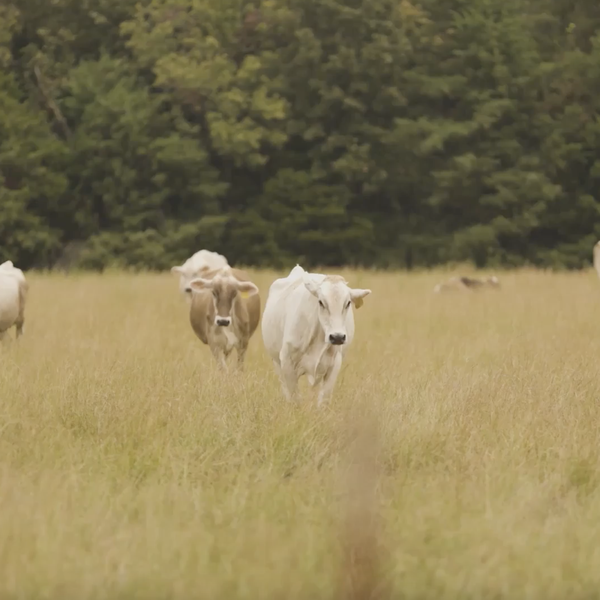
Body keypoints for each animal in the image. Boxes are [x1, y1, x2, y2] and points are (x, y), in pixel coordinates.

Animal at [262, 264, 370, 406]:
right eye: (321, 302)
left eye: (347, 303)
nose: (337, 337)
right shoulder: (286, 361)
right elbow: (295, 398)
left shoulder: (334, 364)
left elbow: (323, 400)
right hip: (276, 362)